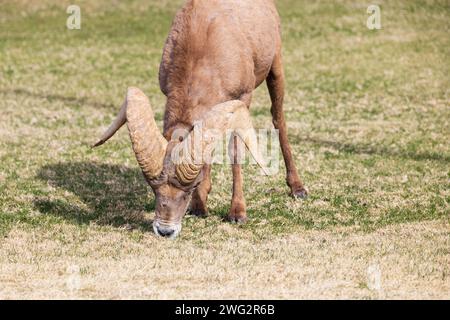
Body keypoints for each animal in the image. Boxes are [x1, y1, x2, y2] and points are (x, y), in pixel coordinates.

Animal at [94, 0, 306, 238]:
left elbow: (235, 152)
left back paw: (298, 189)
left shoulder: (243, 98)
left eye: (190, 188)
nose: (165, 231)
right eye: (154, 189)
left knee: (278, 118)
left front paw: (237, 214)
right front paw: (198, 207)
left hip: (276, 68)